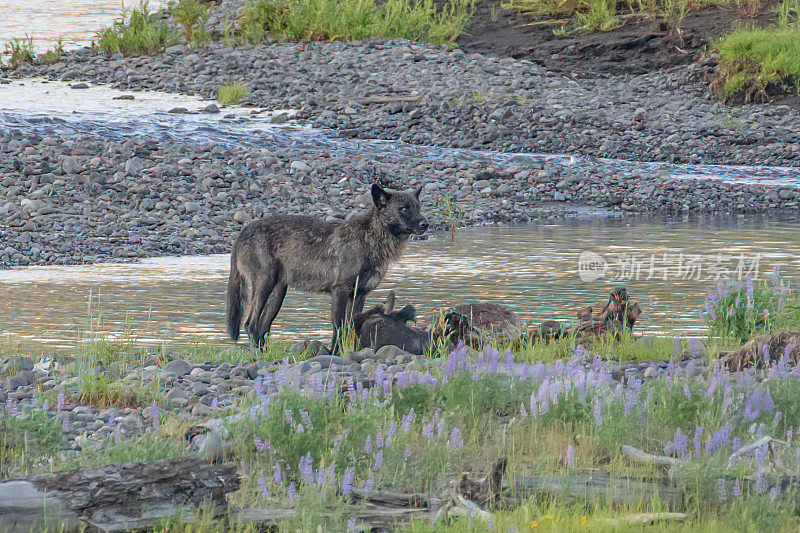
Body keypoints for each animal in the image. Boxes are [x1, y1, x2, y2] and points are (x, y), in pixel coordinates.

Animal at [227, 184, 424, 350]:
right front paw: (334, 353)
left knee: (263, 327)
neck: (368, 240)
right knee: (251, 324)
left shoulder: (359, 295)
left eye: (418, 207)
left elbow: (350, 326)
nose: (425, 223)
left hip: (278, 294)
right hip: (263, 287)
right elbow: (338, 327)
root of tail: (242, 232)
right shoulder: (340, 291)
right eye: (403, 208)